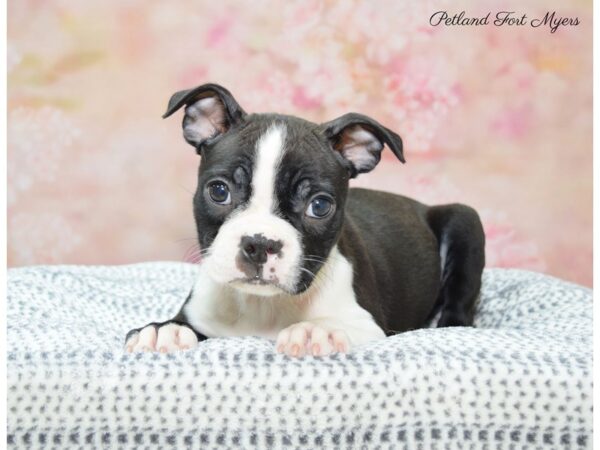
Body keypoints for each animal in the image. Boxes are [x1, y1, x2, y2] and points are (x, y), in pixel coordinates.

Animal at [124, 82, 486, 358]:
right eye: (219, 191)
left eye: (320, 206)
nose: (259, 244)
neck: (262, 306)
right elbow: (183, 324)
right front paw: (164, 331)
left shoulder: (369, 324)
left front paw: (315, 330)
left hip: (465, 221)